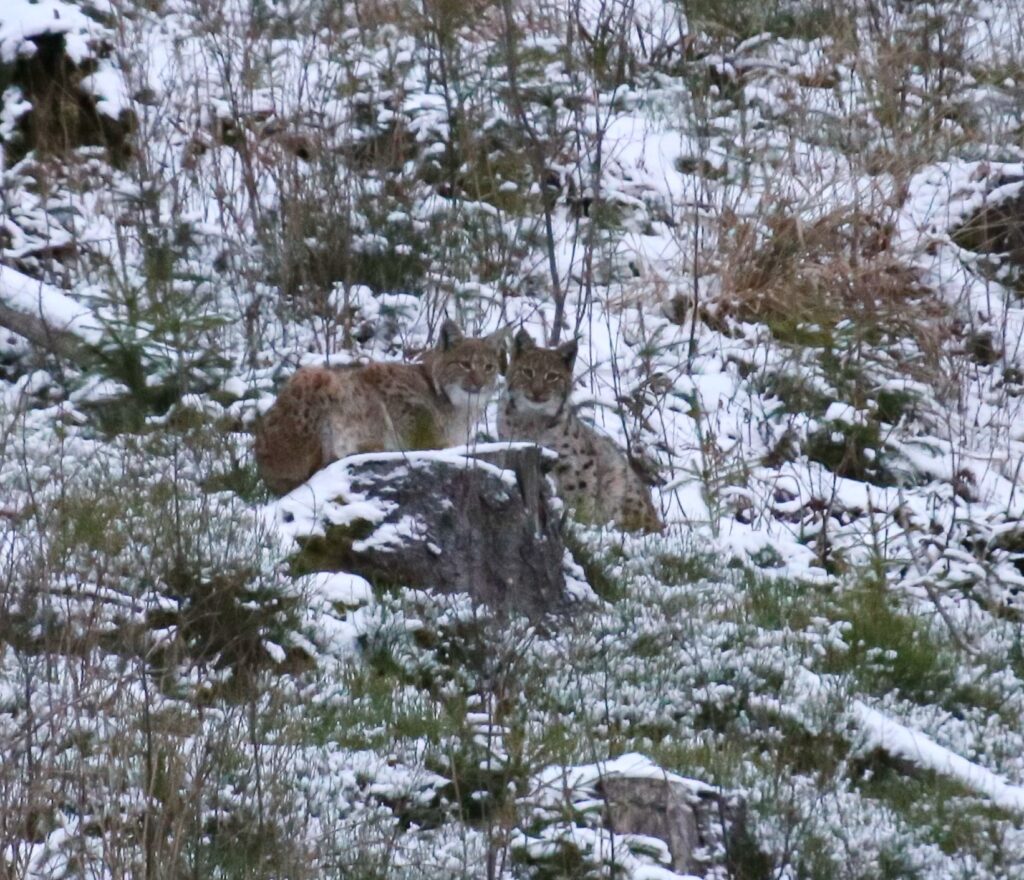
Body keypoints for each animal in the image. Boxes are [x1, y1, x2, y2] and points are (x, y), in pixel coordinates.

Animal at [255, 320, 506, 495]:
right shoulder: (391, 389)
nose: (480, 384)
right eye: (465, 365)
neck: (457, 405)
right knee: (315, 469)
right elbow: (428, 437)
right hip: (313, 375)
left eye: (489, 367)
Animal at [497, 329, 663, 533]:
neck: (531, 418)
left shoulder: (576, 461)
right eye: (527, 372)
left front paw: (579, 521)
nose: (537, 392)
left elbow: (579, 492)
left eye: (552, 376)